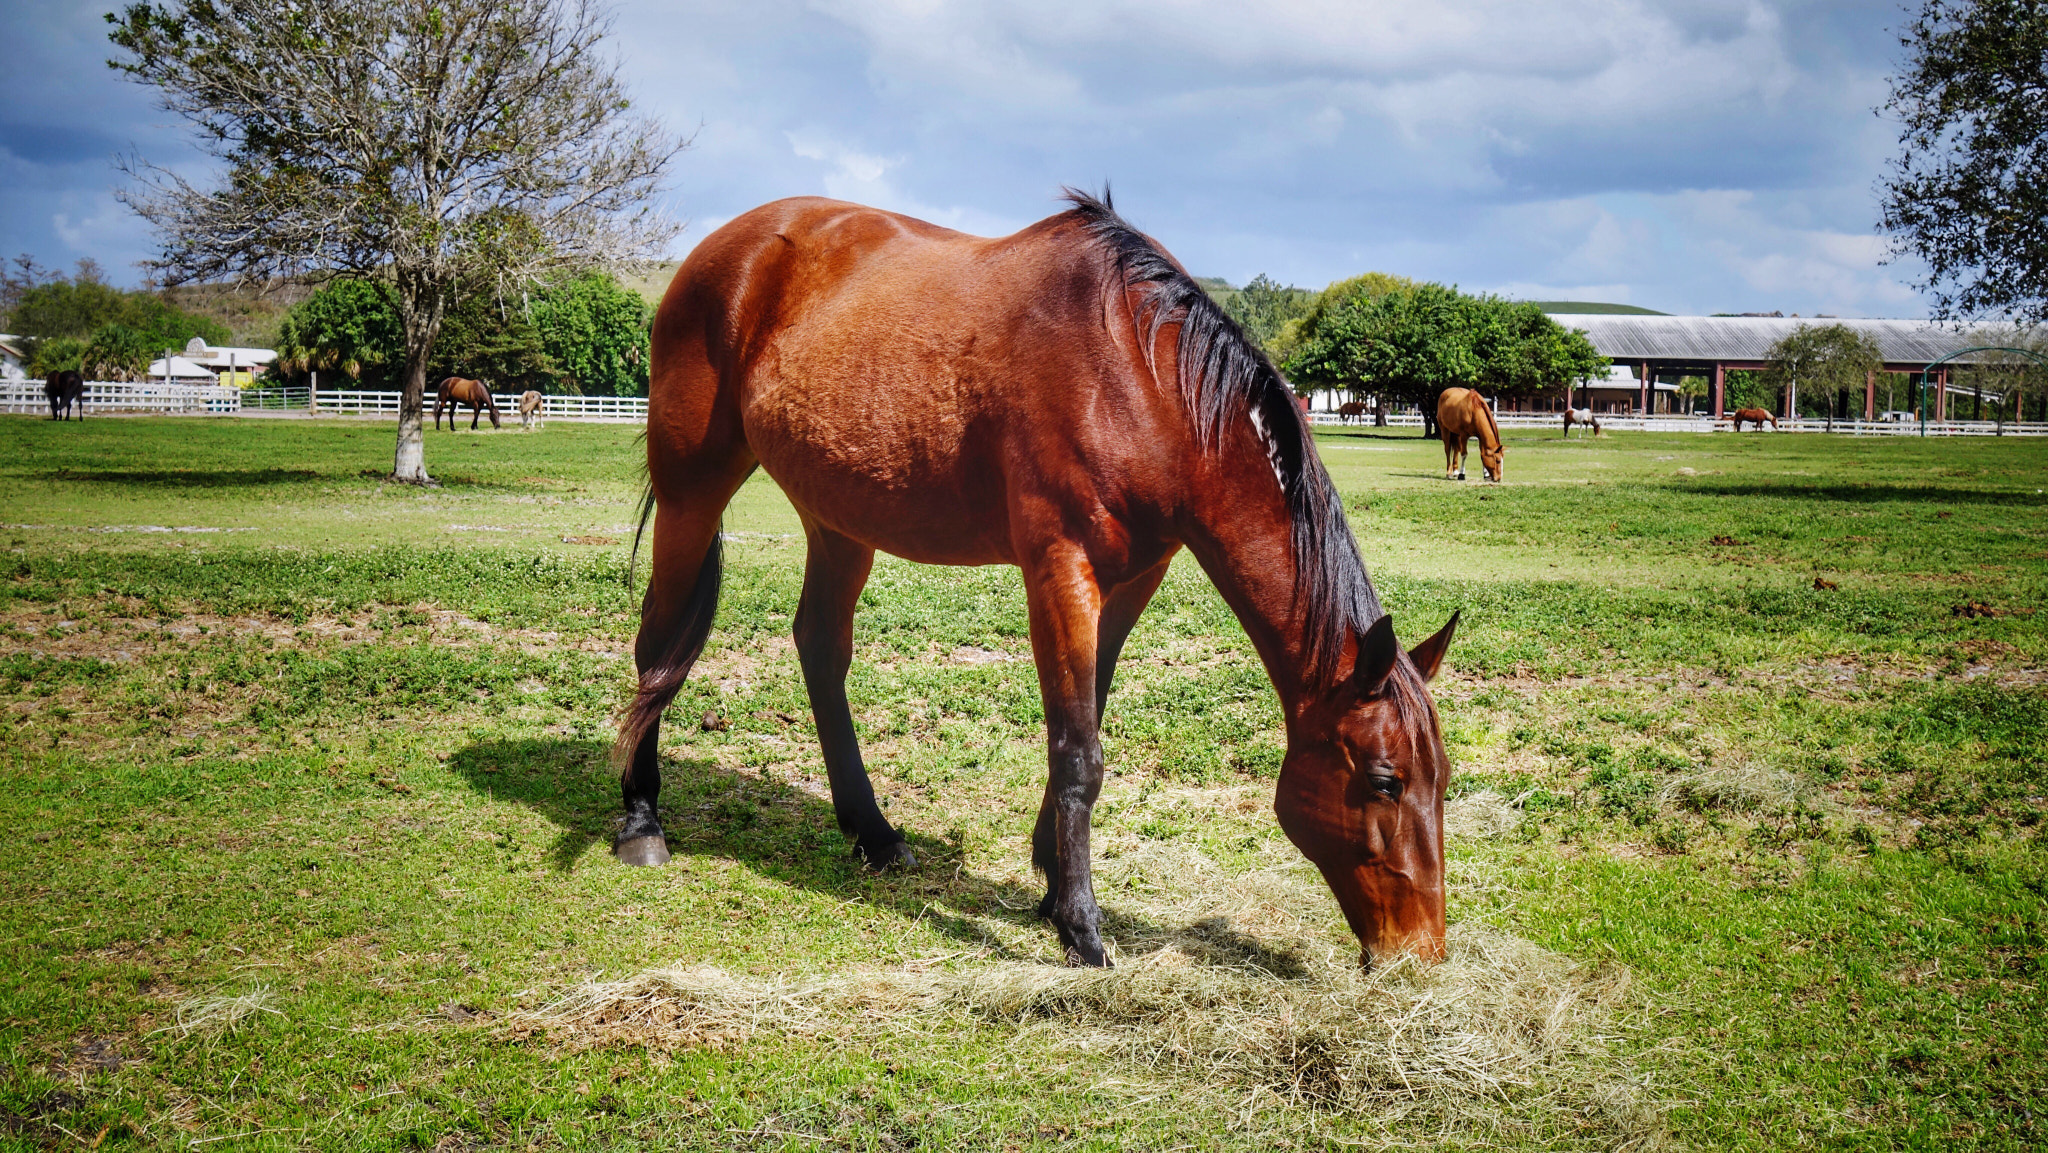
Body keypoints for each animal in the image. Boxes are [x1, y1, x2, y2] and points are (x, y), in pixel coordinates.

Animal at [614, 191, 1466, 974]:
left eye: (1441, 779)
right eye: (1386, 780)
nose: (1421, 950)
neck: (1139, 376)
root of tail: (725, 248)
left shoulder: (1133, 579)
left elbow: (1088, 717)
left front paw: (1055, 884)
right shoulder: (1060, 570)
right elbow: (1079, 749)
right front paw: (1082, 926)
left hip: (839, 523)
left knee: (820, 650)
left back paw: (875, 834)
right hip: (692, 493)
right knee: (657, 643)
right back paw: (641, 820)